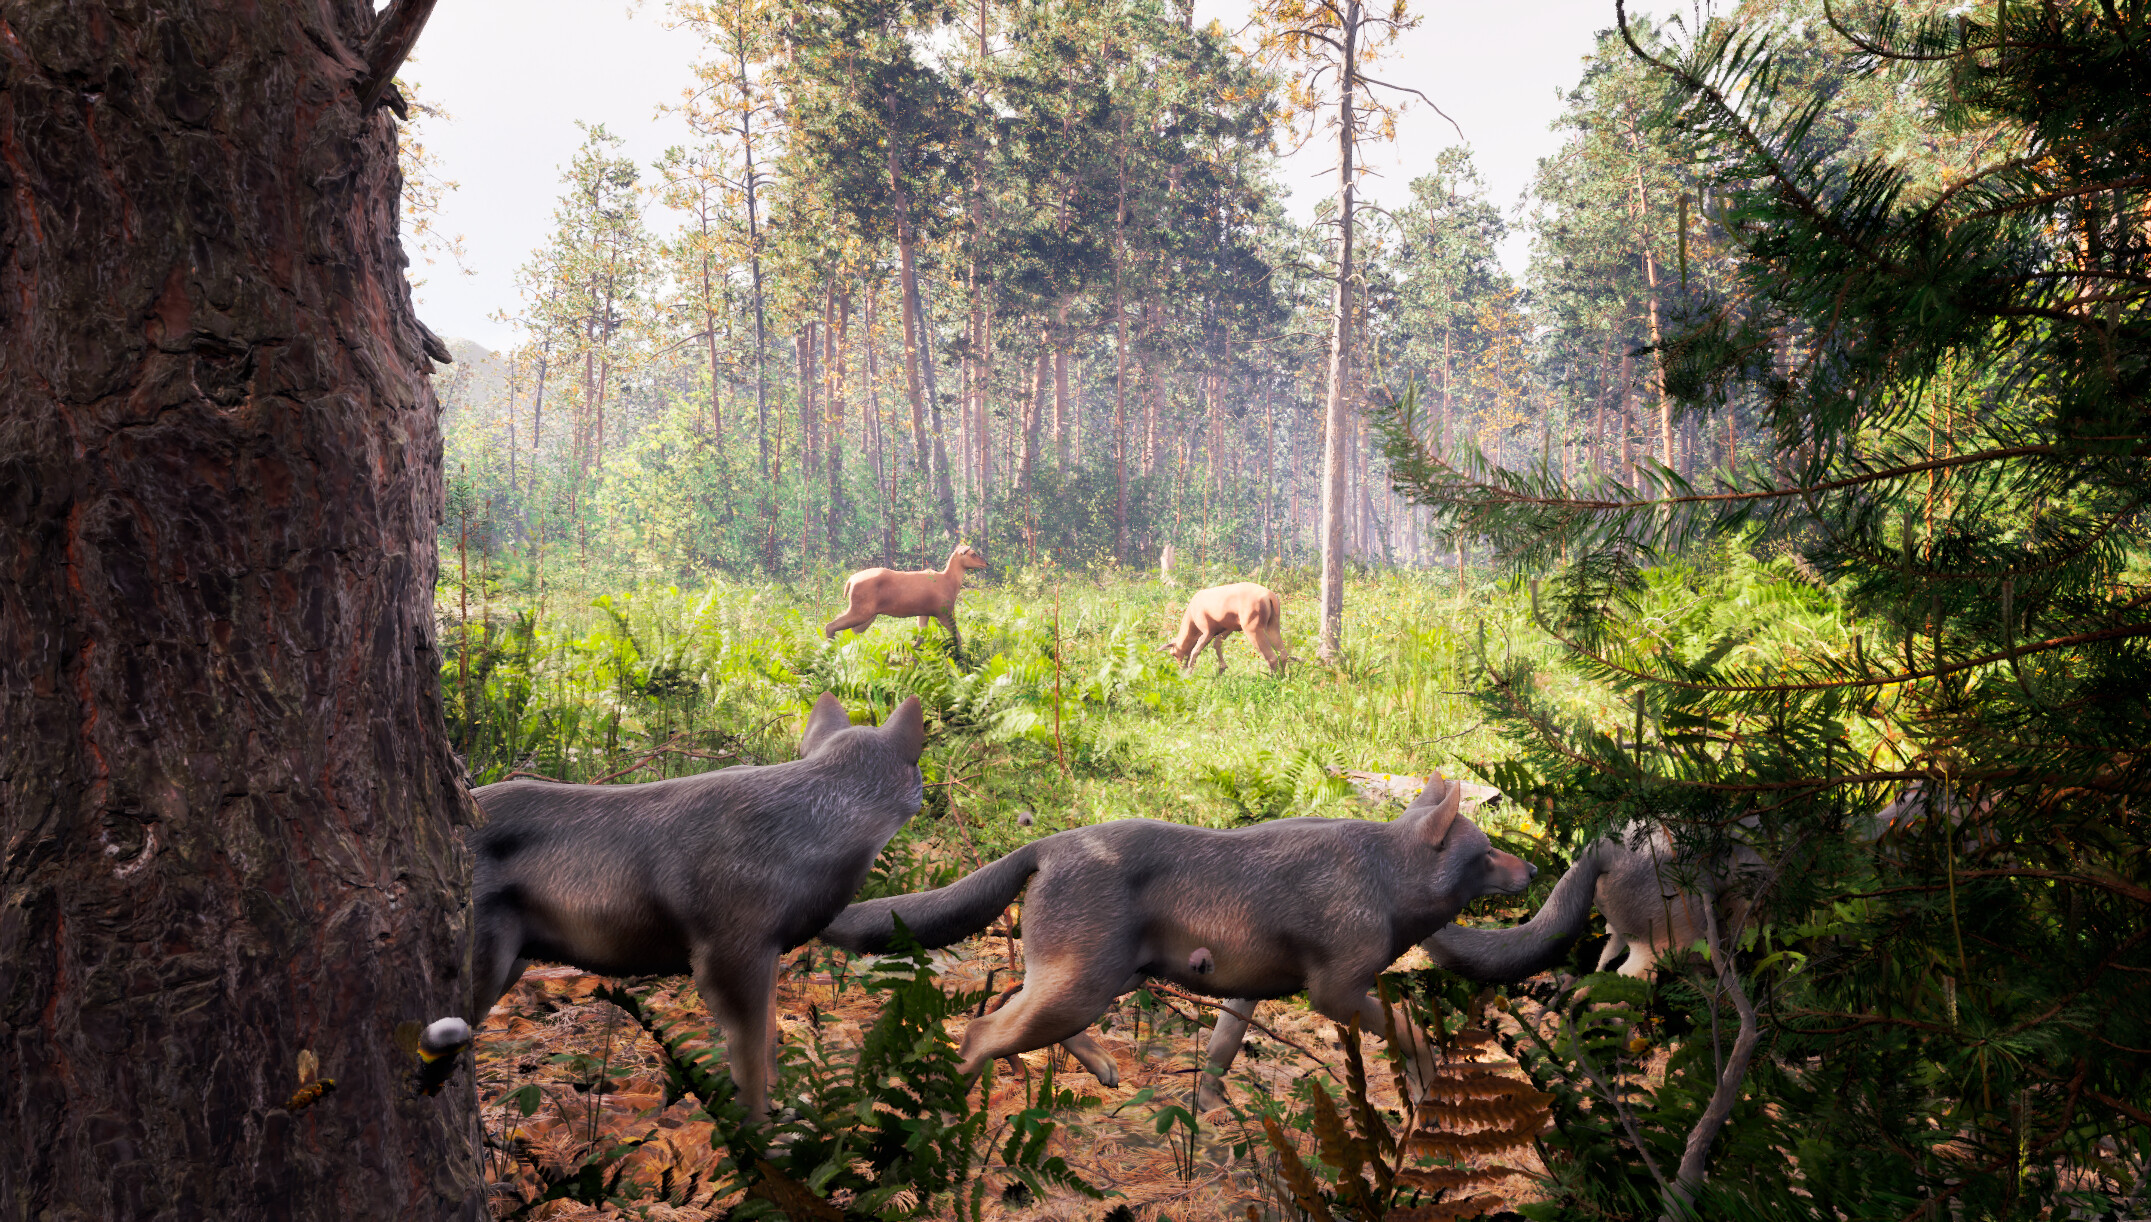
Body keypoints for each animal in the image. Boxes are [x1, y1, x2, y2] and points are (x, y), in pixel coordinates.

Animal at [424, 693, 925, 1123]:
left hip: (515, 960)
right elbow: (748, 1064)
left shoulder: (768, 951)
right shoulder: (728, 951)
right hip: (484, 962)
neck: (821, 838)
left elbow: (769, 1045)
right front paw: (764, 1136)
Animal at [818, 774, 1535, 1105]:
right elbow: (1412, 1029)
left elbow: (1219, 1052)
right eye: (1487, 852)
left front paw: (1209, 1106)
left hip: (1100, 980)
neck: (1387, 875)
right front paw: (1425, 1087)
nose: (1531, 869)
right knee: (980, 1031)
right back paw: (943, 1111)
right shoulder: (1336, 993)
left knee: (1018, 1018)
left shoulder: (1249, 990)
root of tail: (1044, 845)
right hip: (1084, 986)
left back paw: (1103, 1069)